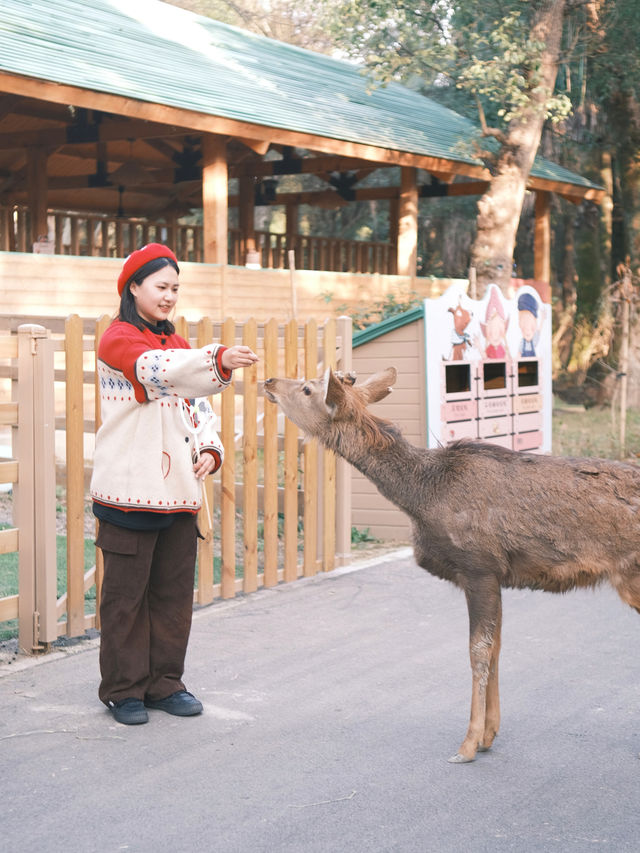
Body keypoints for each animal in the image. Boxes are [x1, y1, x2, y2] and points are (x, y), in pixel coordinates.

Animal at [262, 370, 640, 764]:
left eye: (307, 388)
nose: (269, 381)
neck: (421, 495)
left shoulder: (478, 567)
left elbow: (478, 651)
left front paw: (468, 744)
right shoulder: (496, 576)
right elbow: (496, 647)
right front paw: (489, 734)